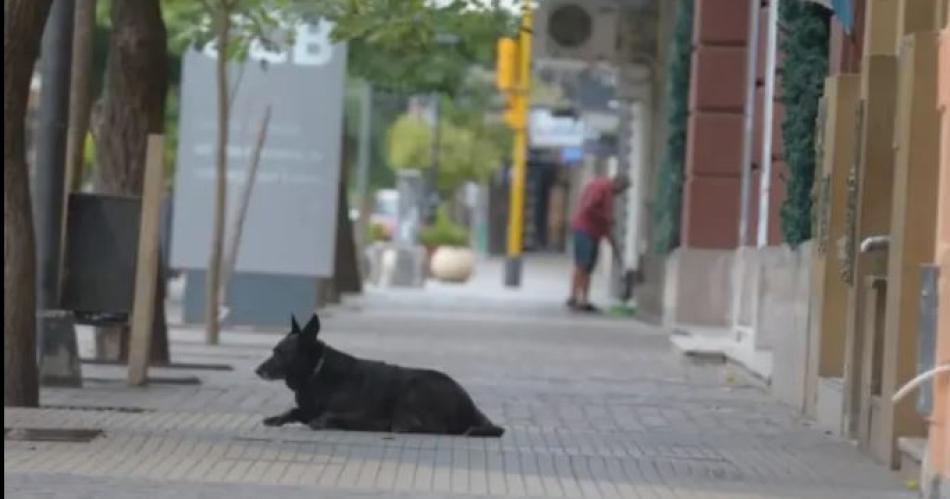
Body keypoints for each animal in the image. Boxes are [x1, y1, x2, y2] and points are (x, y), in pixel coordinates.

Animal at [253, 314, 506, 440]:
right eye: (274, 350)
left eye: (280, 353)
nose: (257, 370)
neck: (316, 372)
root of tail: (471, 408)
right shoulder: (306, 408)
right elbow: (293, 411)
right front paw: (276, 418)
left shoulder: (360, 412)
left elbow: (326, 414)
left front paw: (327, 421)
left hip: (414, 387)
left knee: (430, 427)